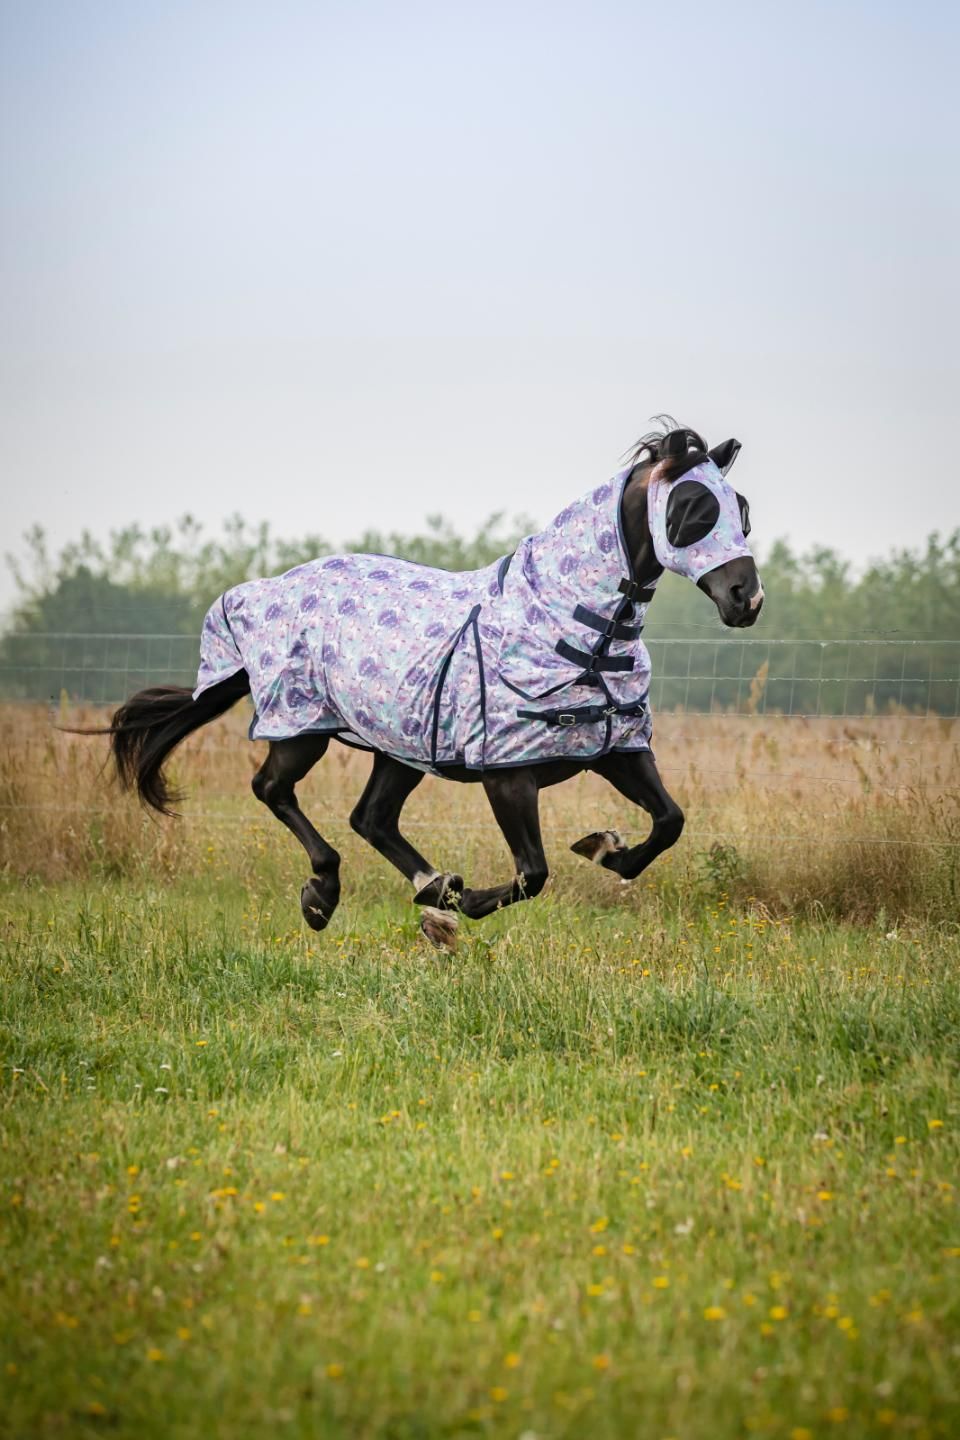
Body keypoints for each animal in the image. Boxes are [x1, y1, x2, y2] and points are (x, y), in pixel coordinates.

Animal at [91, 421, 762, 947]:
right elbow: (533, 873)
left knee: (371, 817)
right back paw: (329, 894)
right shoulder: (507, 776)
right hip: (303, 728)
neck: (571, 627)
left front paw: (606, 849)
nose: (746, 599)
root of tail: (259, 590)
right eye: (693, 510)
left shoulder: (615, 750)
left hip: (401, 745)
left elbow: (670, 821)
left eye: (742, 510)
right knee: (273, 789)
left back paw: (430, 887)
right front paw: (468, 905)